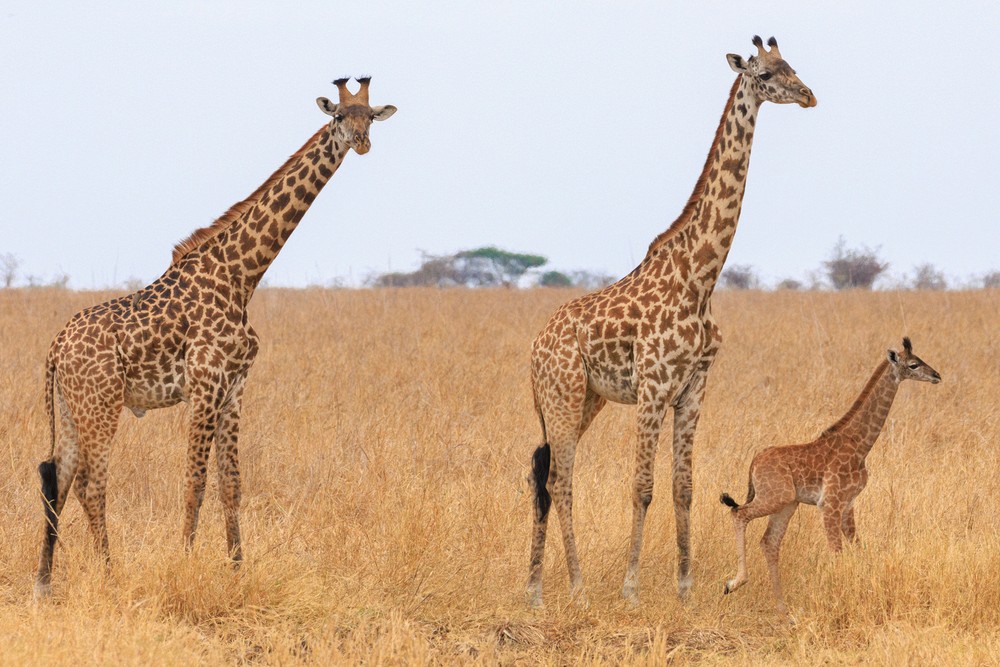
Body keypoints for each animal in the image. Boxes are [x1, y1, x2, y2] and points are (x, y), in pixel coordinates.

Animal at [33, 78, 396, 599]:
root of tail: (56, 347)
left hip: (69, 405)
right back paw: (109, 574)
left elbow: (232, 484)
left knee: (56, 479)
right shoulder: (205, 383)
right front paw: (184, 562)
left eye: (369, 116)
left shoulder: (235, 386)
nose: (363, 143)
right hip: (100, 403)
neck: (242, 276)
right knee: (89, 484)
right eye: (338, 117)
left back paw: (44, 582)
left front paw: (237, 568)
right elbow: (195, 482)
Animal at [526, 36, 817, 608]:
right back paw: (577, 587)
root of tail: (534, 349)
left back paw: (534, 590)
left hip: (584, 400)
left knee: (545, 473)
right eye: (767, 73)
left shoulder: (693, 388)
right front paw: (631, 588)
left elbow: (685, 487)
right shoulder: (654, 388)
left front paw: (685, 587)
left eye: (794, 66)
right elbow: (643, 488)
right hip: (562, 396)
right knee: (560, 481)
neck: (701, 276)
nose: (808, 95)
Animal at [720, 338, 941, 614]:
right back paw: (734, 583)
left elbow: (858, 547)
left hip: (787, 504)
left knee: (769, 542)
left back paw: (782, 609)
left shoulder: (848, 504)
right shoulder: (830, 504)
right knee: (738, 513)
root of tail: (754, 462)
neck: (860, 444)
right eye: (913, 364)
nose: (936, 375)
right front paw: (838, 602)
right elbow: (836, 553)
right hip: (775, 498)